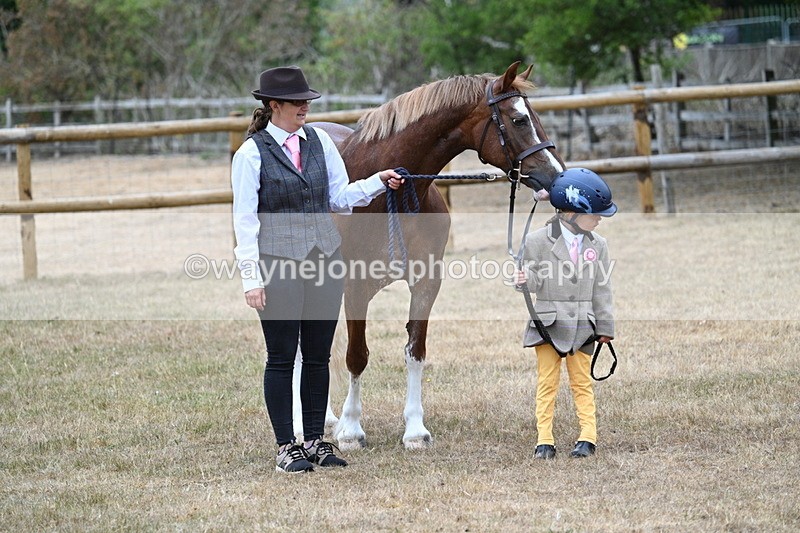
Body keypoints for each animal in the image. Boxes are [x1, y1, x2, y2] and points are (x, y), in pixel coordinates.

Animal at [313, 61, 565, 450]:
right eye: (519, 119)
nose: (556, 175)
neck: (391, 193)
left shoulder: (426, 283)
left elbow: (415, 351)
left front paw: (415, 430)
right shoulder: (355, 287)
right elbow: (357, 356)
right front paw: (351, 430)